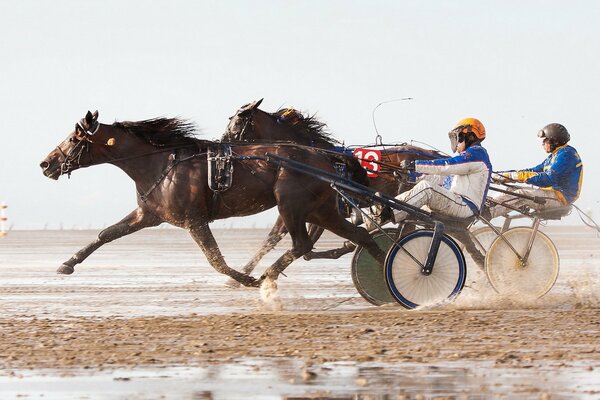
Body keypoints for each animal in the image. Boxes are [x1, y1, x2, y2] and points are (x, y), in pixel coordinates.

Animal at [39, 111, 384, 286]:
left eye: (73, 138)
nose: (46, 163)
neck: (159, 162)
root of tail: (323, 155)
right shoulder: (148, 215)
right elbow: (105, 234)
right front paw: (67, 264)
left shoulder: (193, 220)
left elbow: (215, 259)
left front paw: (244, 279)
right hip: (320, 209)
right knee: (359, 236)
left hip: (291, 203)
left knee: (302, 245)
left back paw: (265, 277)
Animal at [220, 99, 454, 282]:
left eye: (237, 121)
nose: (222, 142)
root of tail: (435, 156)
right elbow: (277, 240)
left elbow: (276, 239)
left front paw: (241, 276)